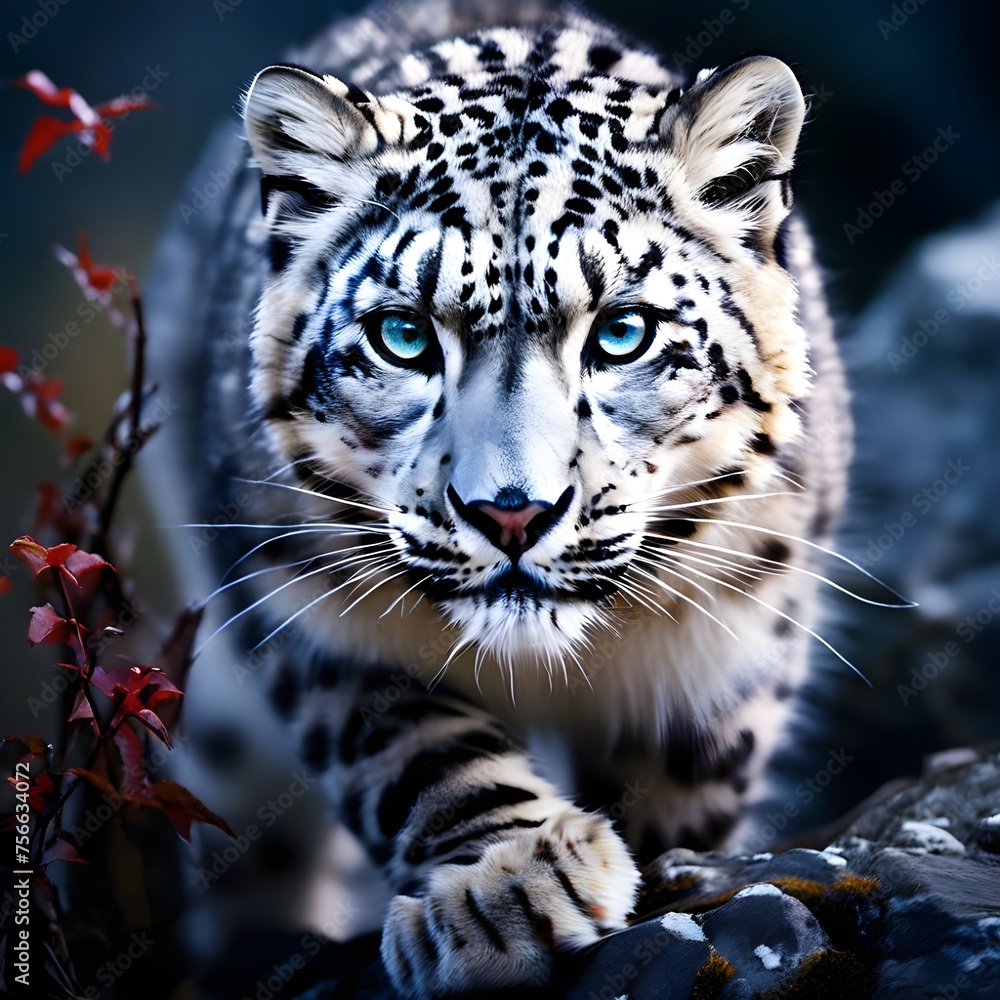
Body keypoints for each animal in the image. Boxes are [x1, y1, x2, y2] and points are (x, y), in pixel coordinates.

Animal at [143, 0, 855, 995]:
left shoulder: (734, 644)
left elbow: (685, 788)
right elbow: (412, 746)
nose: (511, 511)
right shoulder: (300, 601)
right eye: (403, 335)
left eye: (623, 331)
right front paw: (509, 888)